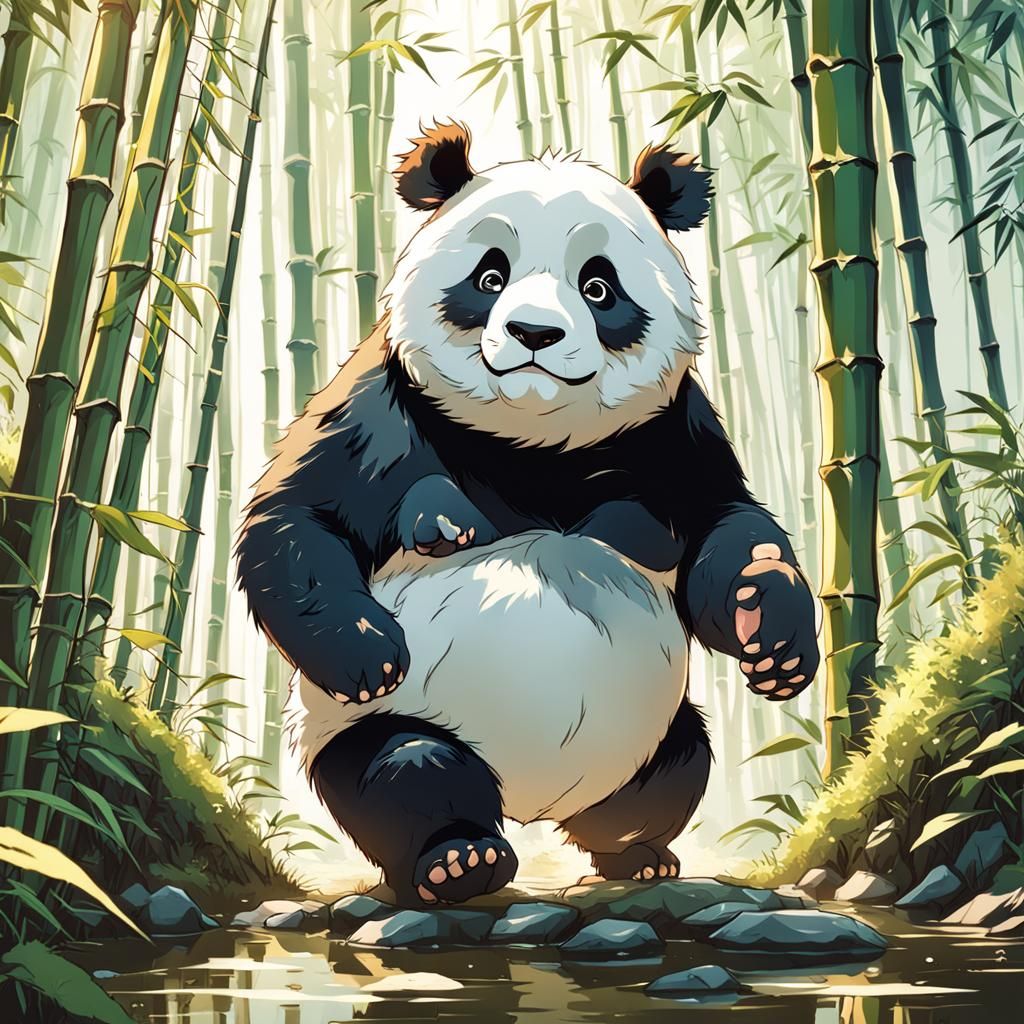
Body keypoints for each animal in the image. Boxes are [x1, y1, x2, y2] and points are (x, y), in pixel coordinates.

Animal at [237, 121, 819, 907]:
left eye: (599, 286)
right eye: (489, 277)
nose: (535, 334)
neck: (533, 445)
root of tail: (532, 803)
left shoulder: (673, 430)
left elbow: (724, 525)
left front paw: (770, 628)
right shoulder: (379, 401)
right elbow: (298, 515)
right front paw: (366, 650)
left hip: (644, 731)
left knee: (675, 766)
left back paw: (638, 853)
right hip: (370, 734)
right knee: (405, 771)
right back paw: (458, 859)